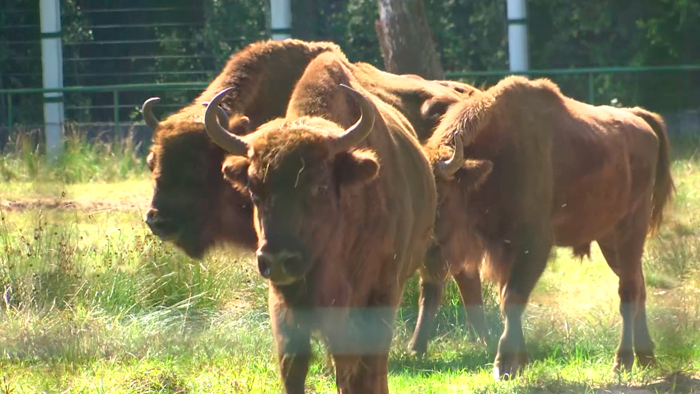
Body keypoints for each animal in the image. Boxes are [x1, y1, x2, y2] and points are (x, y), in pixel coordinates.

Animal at [202, 53, 446, 394]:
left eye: (320, 185)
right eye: (253, 187)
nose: (278, 260)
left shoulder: (379, 294)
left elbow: (360, 367)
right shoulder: (285, 306)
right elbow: (295, 366)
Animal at [418, 75, 676, 380]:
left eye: (442, 196)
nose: (422, 251)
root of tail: (639, 119)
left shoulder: (534, 245)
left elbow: (512, 298)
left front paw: (504, 365)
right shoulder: (506, 250)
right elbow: (508, 298)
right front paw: (521, 361)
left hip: (631, 230)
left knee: (628, 291)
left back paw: (622, 362)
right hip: (610, 240)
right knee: (639, 285)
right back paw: (647, 357)